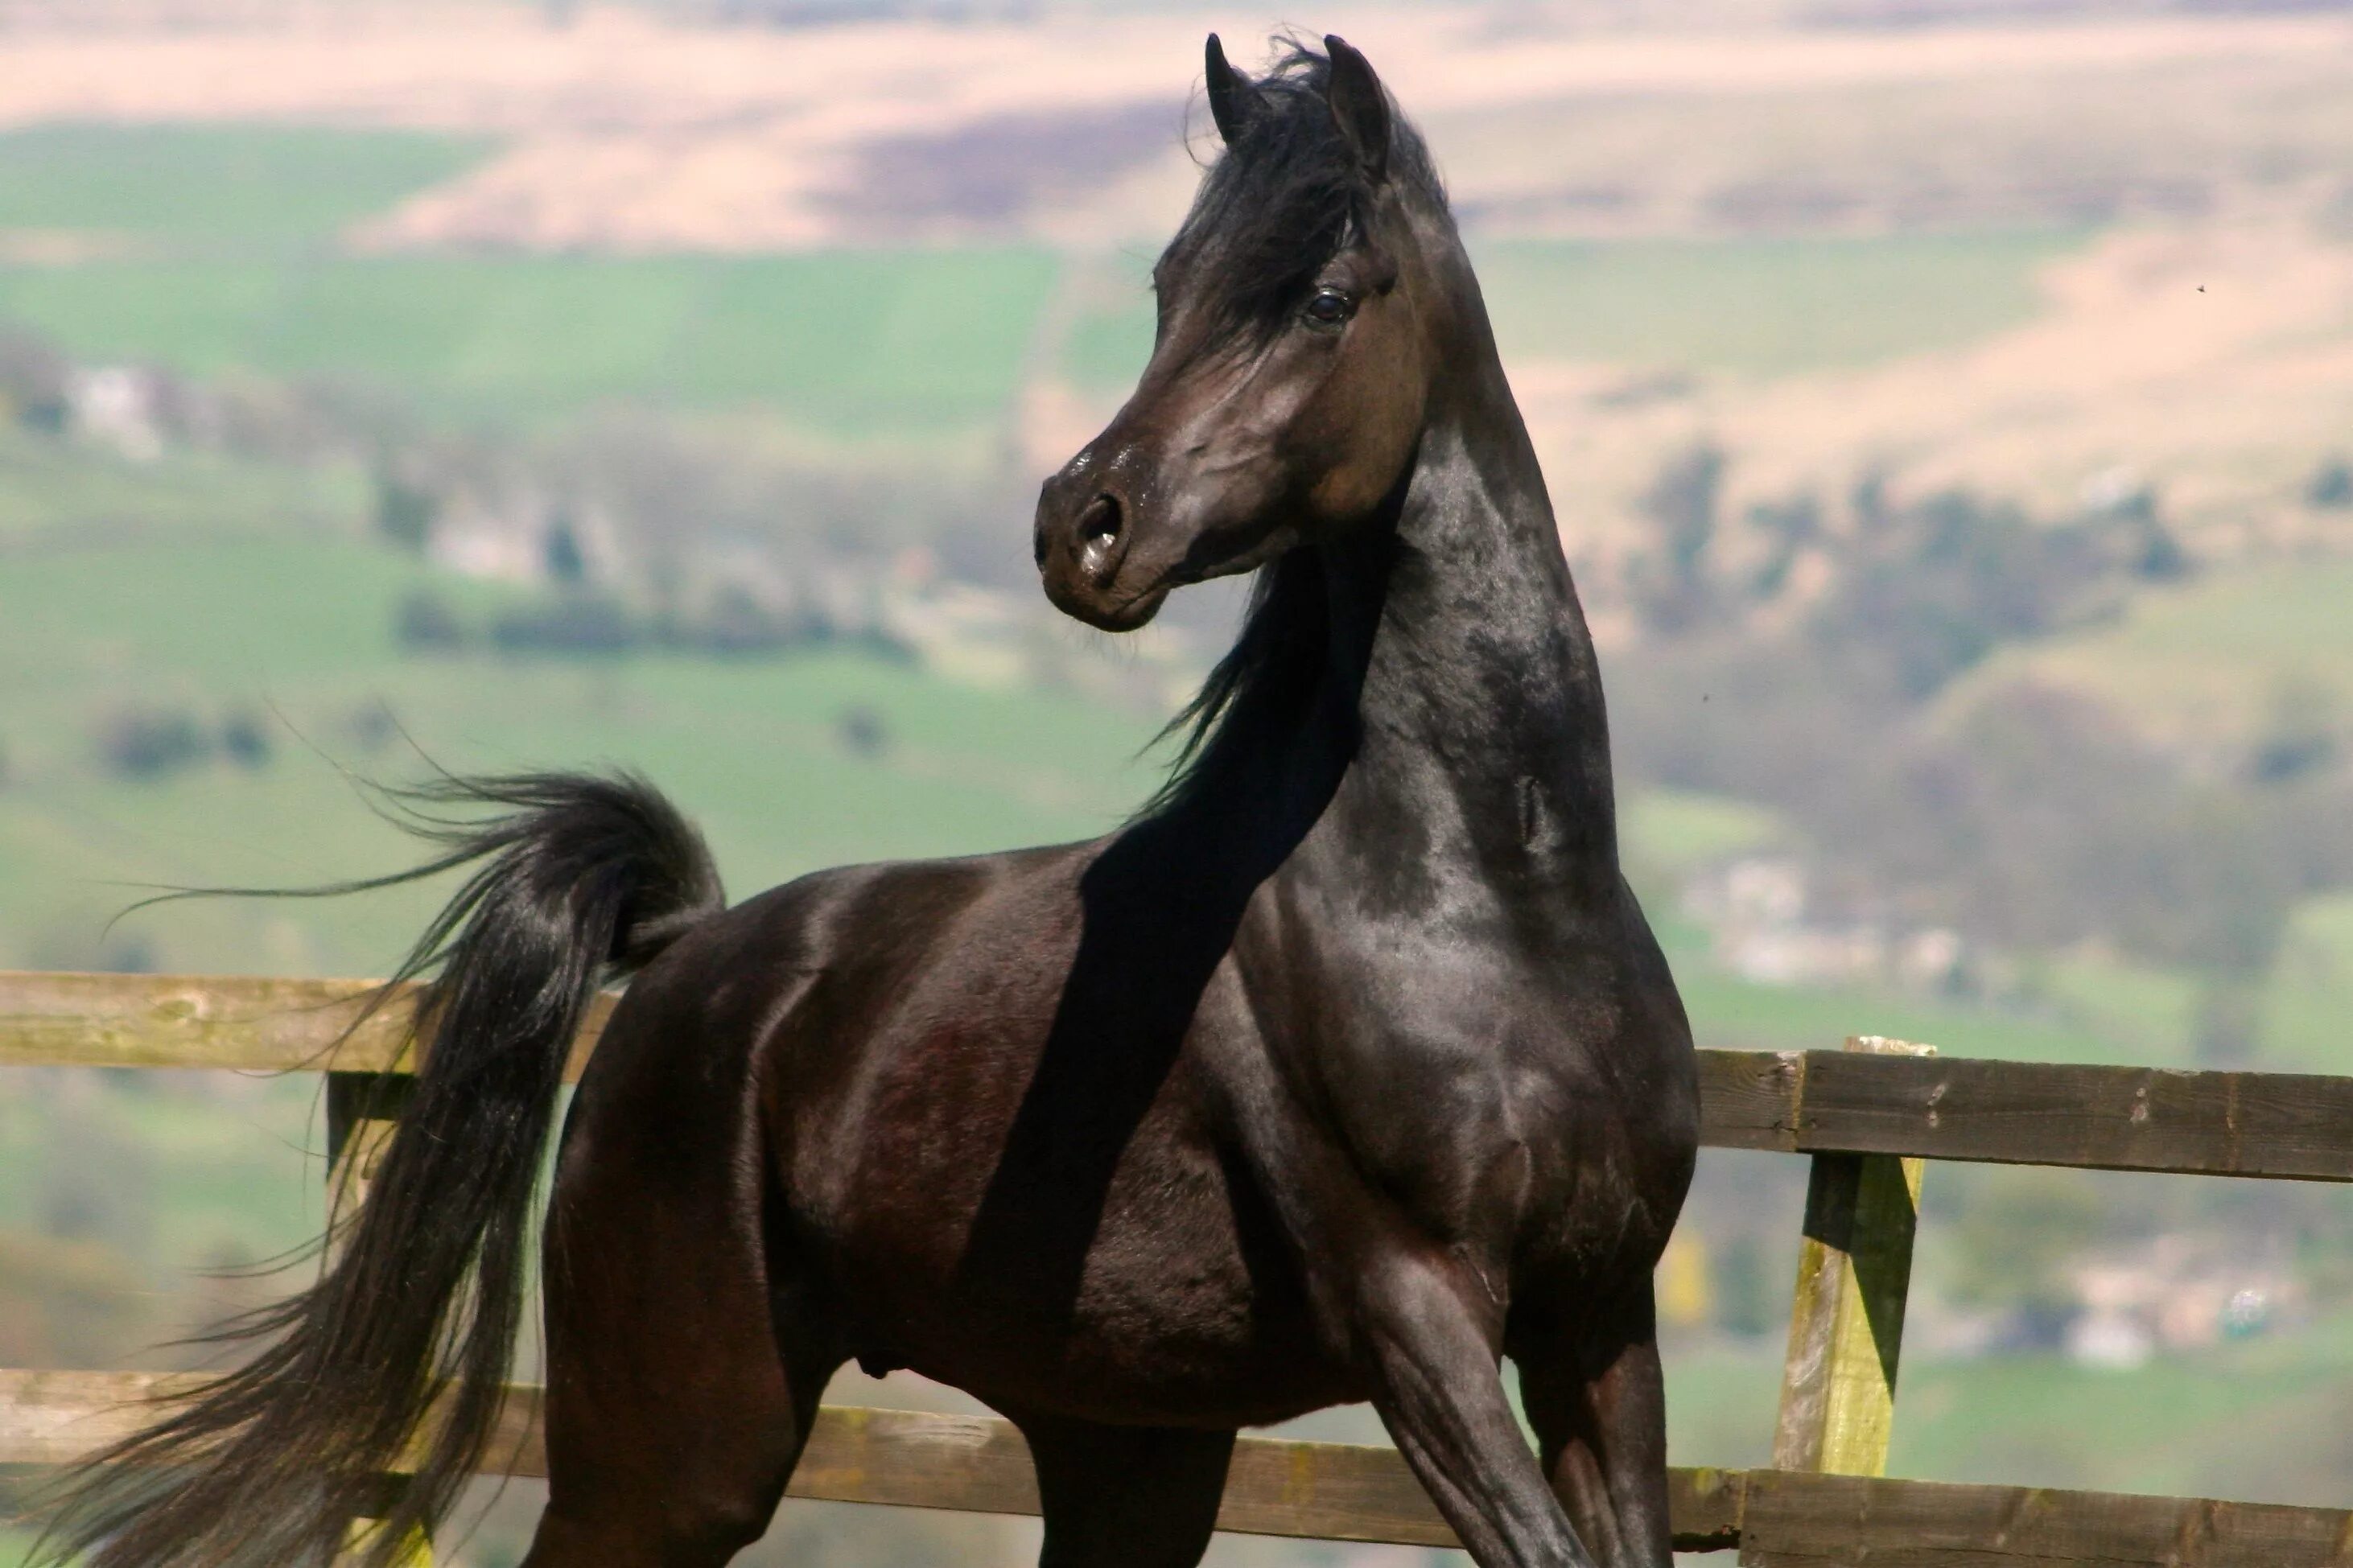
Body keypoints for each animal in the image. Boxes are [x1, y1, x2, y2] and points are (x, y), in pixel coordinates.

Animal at [46, 34, 1703, 1568]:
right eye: (1170, 285)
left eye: (1322, 298)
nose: (1082, 523)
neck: (1485, 898)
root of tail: (686, 966)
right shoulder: (1413, 1312)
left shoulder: (1598, 1320)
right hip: (684, 1442)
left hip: (1123, 1439)